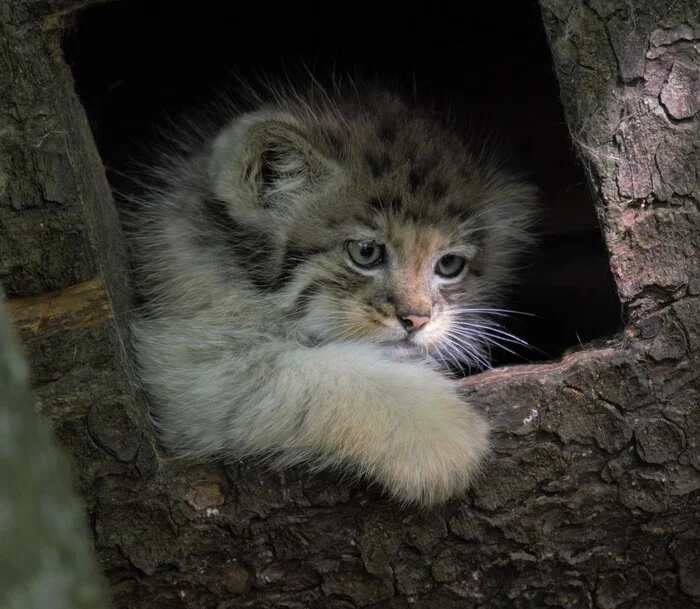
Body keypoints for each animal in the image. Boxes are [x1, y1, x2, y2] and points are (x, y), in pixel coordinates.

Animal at [129, 84, 540, 504]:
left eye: (449, 265)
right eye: (365, 252)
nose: (417, 318)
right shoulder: (181, 361)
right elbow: (298, 373)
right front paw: (439, 433)